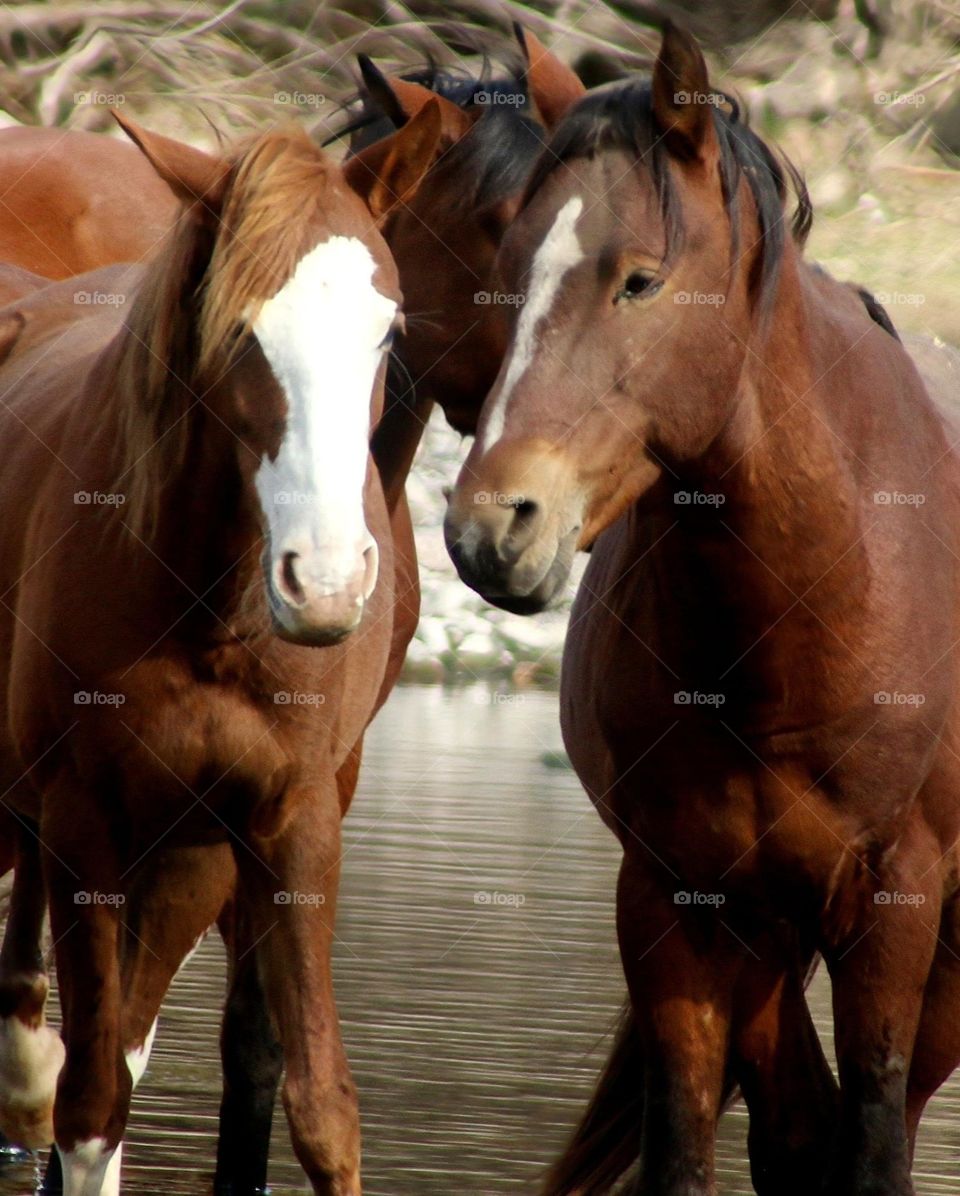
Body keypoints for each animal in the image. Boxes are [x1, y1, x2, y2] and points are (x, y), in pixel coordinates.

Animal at [0, 30, 586, 1195]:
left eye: (385, 327)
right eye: (236, 327)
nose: (326, 580)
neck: (206, 607)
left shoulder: (288, 818)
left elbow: (306, 1095)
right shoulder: (85, 820)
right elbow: (86, 1102)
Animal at [445, 20, 960, 1196]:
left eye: (641, 280)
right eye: (507, 273)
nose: (491, 524)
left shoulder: (895, 906)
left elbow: (876, 1141)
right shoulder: (674, 904)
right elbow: (685, 1146)